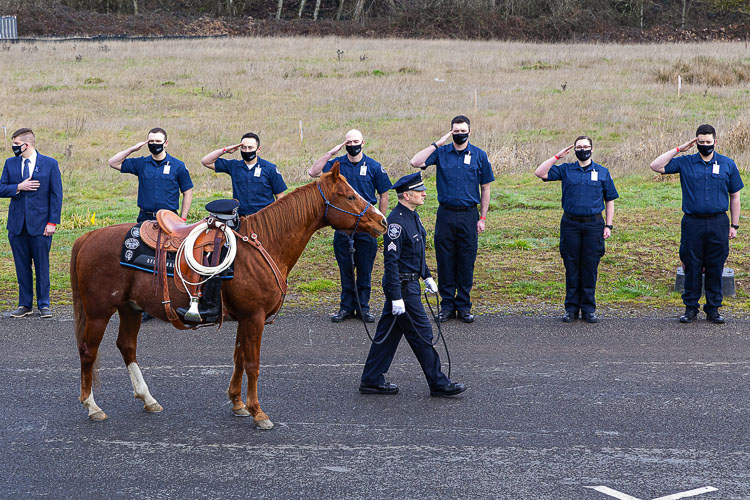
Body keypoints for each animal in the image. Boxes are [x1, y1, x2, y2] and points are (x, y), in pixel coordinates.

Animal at [70, 163, 388, 426]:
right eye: (349, 196)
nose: (382, 222)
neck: (265, 244)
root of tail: (88, 237)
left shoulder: (244, 318)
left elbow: (238, 358)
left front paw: (238, 404)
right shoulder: (254, 317)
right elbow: (252, 363)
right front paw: (258, 412)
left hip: (130, 308)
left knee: (127, 347)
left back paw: (148, 399)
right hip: (99, 311)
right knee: (88, 351)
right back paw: (92, 406)